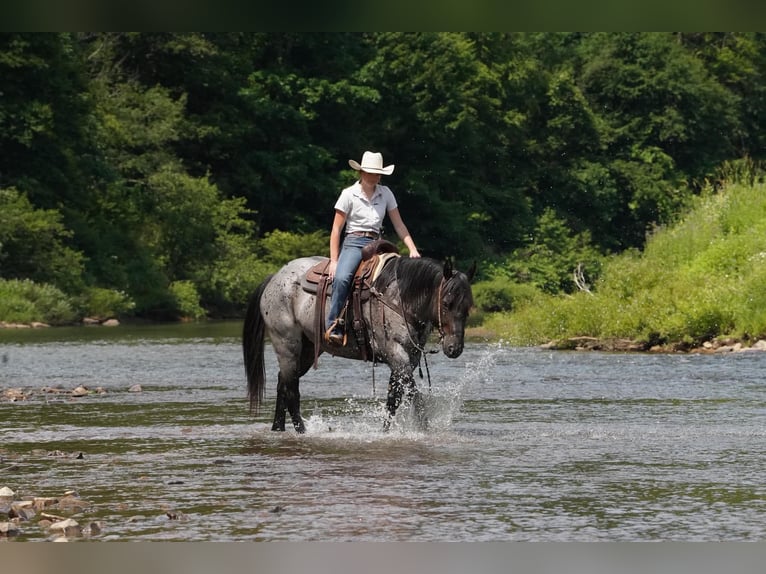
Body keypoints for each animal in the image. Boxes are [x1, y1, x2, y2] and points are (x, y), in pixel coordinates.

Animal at [242, 254, 476, 433]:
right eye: (446, 303)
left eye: (468, 307)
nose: (455, 348)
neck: (399, 298)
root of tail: (274, 278)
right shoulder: (396, 354)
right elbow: (412, 394)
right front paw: (424, 429)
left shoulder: (409, 357)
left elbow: (394, 397)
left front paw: (385, 431)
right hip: (287, 345)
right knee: (291, 390)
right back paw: (302, 431)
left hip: (306, 350)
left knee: (283, 383)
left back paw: (278, 428)